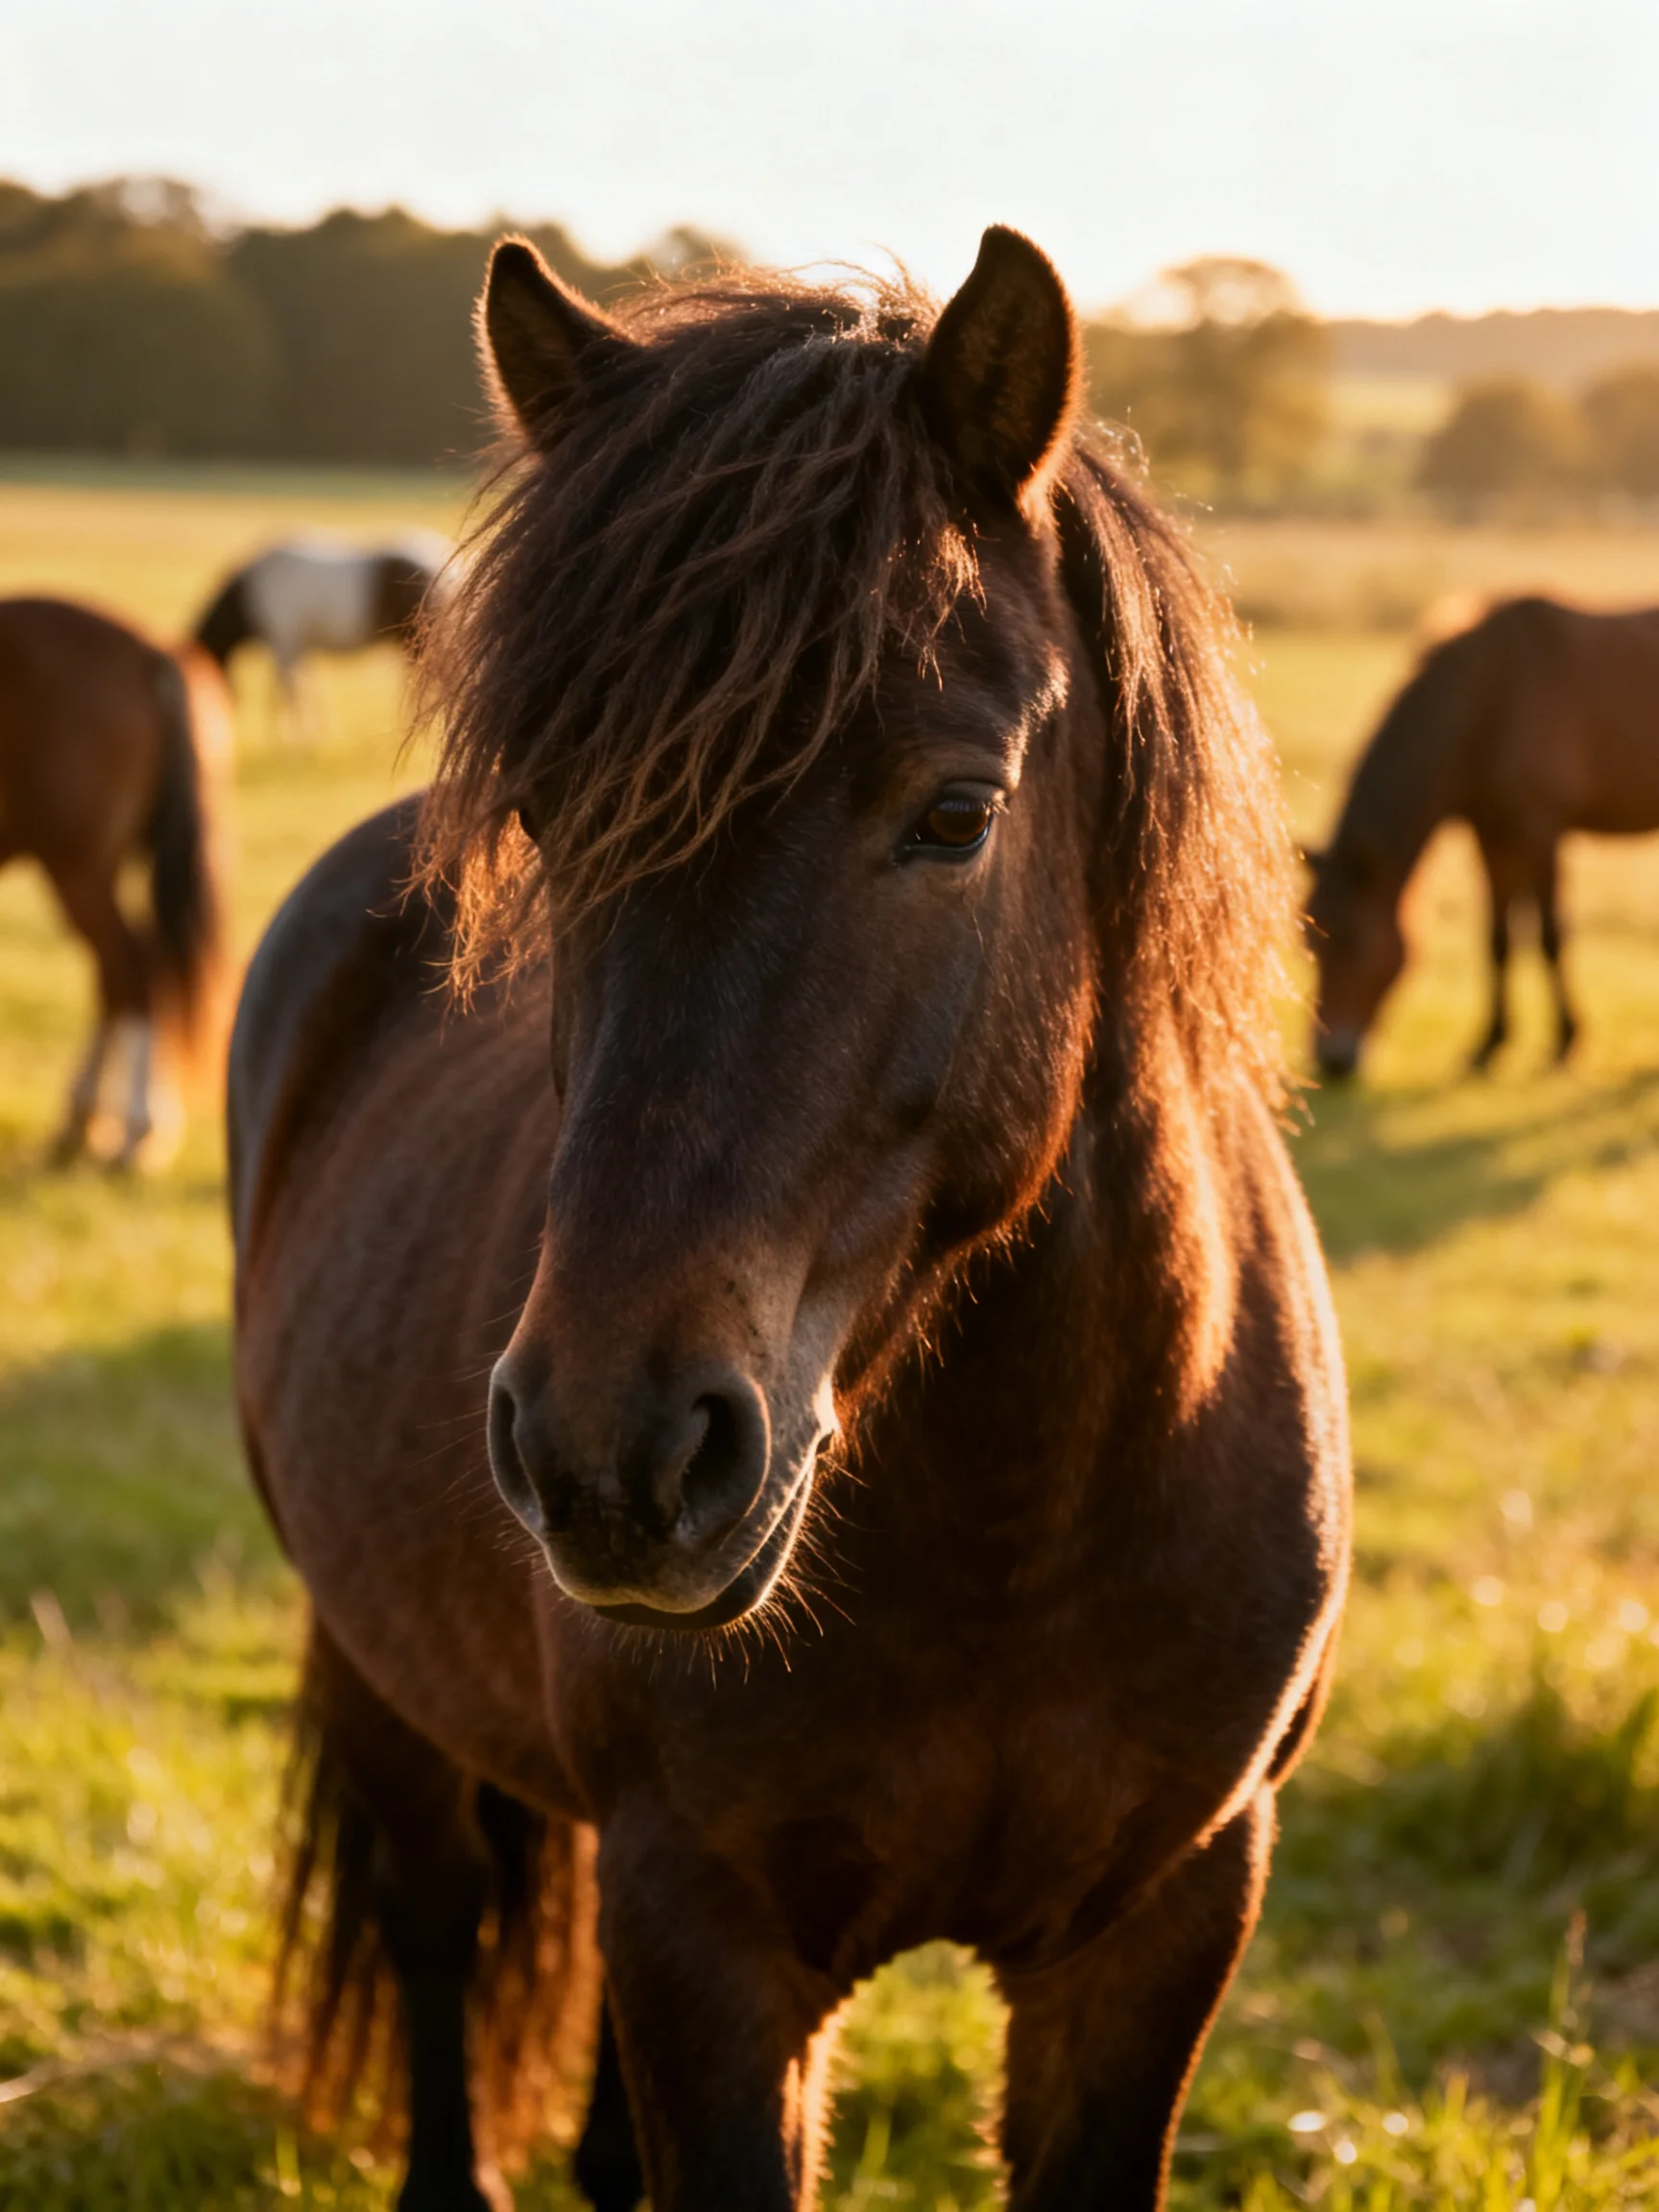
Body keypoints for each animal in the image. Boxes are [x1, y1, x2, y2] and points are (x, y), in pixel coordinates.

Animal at [0, 597, 228, 1167]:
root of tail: (152, 648)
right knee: (131, 965)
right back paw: (85, 1119)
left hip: (75, 862)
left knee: (130, 966)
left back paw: (136, 1130)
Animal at [193, 531, 454, 736]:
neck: (251, 593)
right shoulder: (298, 647)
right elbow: (302, 688)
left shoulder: (285, 645)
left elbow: (289, 691)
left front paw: (294, 739)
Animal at [231, 229, 1350, 2212]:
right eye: (547, 819)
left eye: (956, 811)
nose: (610, 1454)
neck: (1014, 1518)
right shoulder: (710, 1936)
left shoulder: (1158, 1922)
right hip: (382, 1687)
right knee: (436, 1922)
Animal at [1305, 596, 1659, 1079]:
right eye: (1308, 943)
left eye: (1353, 940)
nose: (1332, 1060)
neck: (1489, 702)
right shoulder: (1492, 834)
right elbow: (1497, 938)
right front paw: (1490, 1043)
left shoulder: (1541, 827)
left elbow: (1550, 935)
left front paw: (1566, 1042)